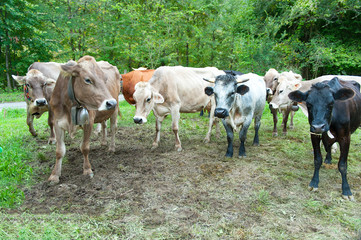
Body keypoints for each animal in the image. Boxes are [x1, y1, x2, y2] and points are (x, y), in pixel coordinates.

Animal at [47, 55, 119, 184]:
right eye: (87, 80)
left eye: (105, 79)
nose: (111, 103)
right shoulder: (57, 123)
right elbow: (59, 151)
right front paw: (54, 175)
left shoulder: (88, 121)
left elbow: (85, 147)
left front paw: (87, 170)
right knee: (104, 125)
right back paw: (103, 142)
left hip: (114, 112)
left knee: (113, 128)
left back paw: (111, 148)